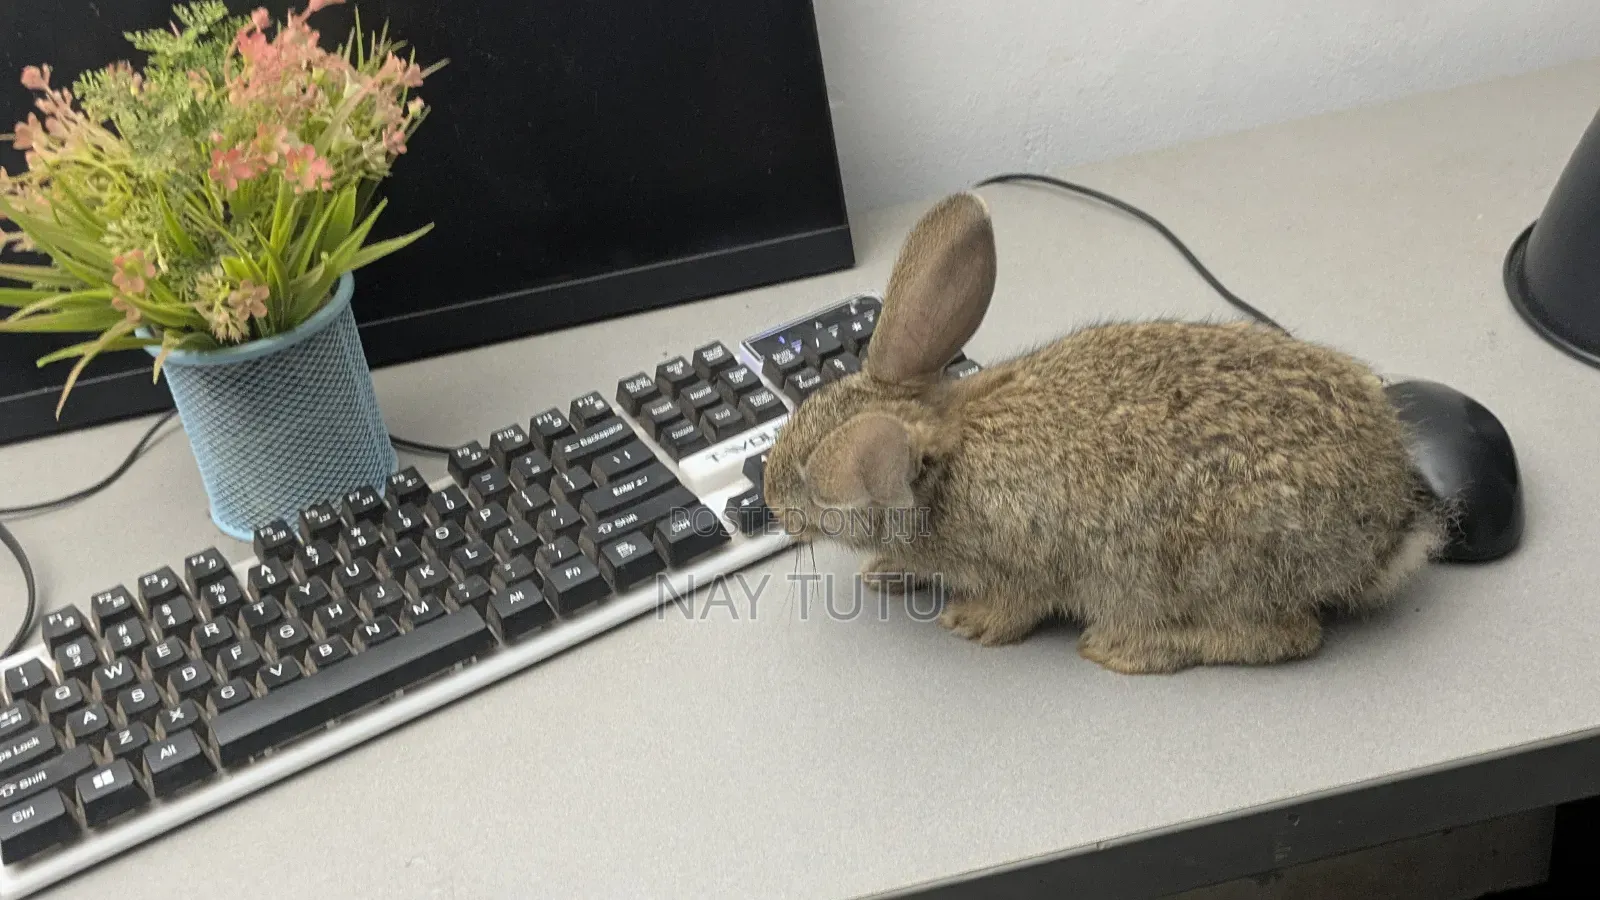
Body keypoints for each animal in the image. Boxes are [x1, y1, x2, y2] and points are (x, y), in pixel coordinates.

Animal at [759, 191, 1446, 674]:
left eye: (820, 490)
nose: (769, 502)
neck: (947, 466)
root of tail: (1389, 527)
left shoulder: (1023, 566)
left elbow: (1016, 607)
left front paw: (969, 623)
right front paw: (884, 572)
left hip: (1211, 571)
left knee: (1285, 636)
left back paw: (1123, 650)